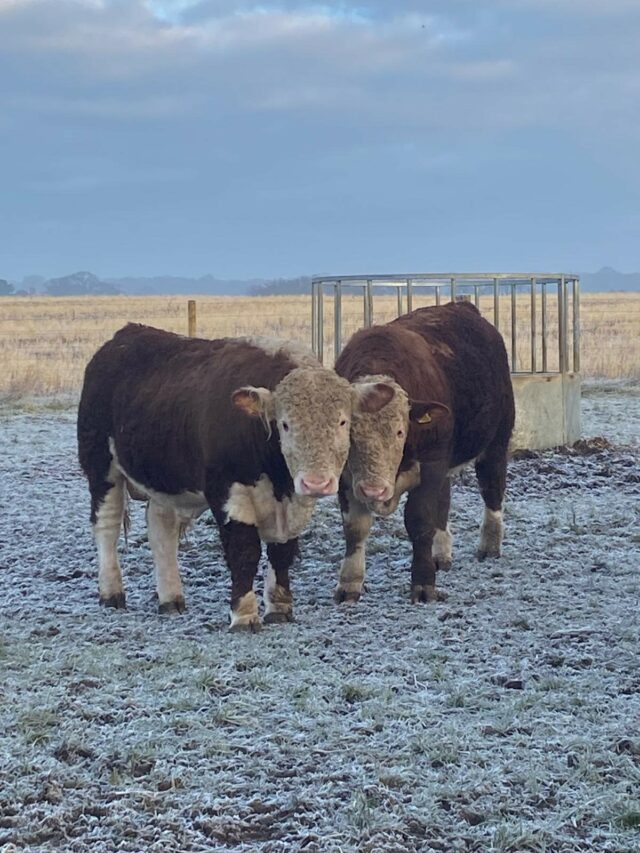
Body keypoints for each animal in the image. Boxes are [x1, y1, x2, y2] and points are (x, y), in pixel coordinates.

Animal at [77, 322, 392, 628]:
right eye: (284, 424)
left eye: (343, 421)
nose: (316, 482)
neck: (277, 477)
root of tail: (124, 336)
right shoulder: (228, 492)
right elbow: (244, 551)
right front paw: (244, 614)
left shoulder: (293, 504)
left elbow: (282, 551)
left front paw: (279, 608)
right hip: (101, 466)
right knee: (106, 525)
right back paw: (111, 593)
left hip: (166, 481)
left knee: (161, 528)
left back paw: (170, 598)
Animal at [332, 302, 516, 604]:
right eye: (349, 432)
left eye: (400, 432)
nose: (373, 489)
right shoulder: (346, 478)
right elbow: (355, 528)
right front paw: (349, 584)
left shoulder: (431, 464)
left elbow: (419, 520)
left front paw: (423, 584)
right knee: (444, 499)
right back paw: (440, 554)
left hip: (496, 443)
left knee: (492, 489)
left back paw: (489, 545)